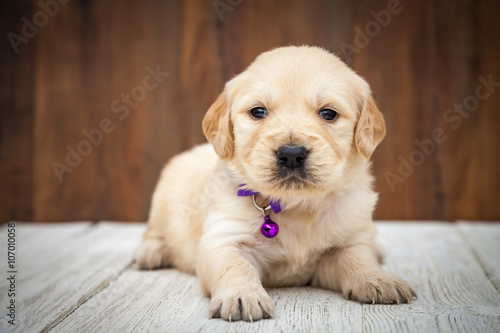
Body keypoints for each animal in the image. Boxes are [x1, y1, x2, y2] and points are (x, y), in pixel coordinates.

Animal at [135, 45, 416, 320]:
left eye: (328, 113)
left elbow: (358, 257)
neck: (297, 206)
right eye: (258, 111)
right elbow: (234, 265)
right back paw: (150, 253)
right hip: (161, 201)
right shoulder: (223, 238)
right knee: (153, 232)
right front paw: (242, 295)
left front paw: (378, 279)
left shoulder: (349, 238)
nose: (291, 154)